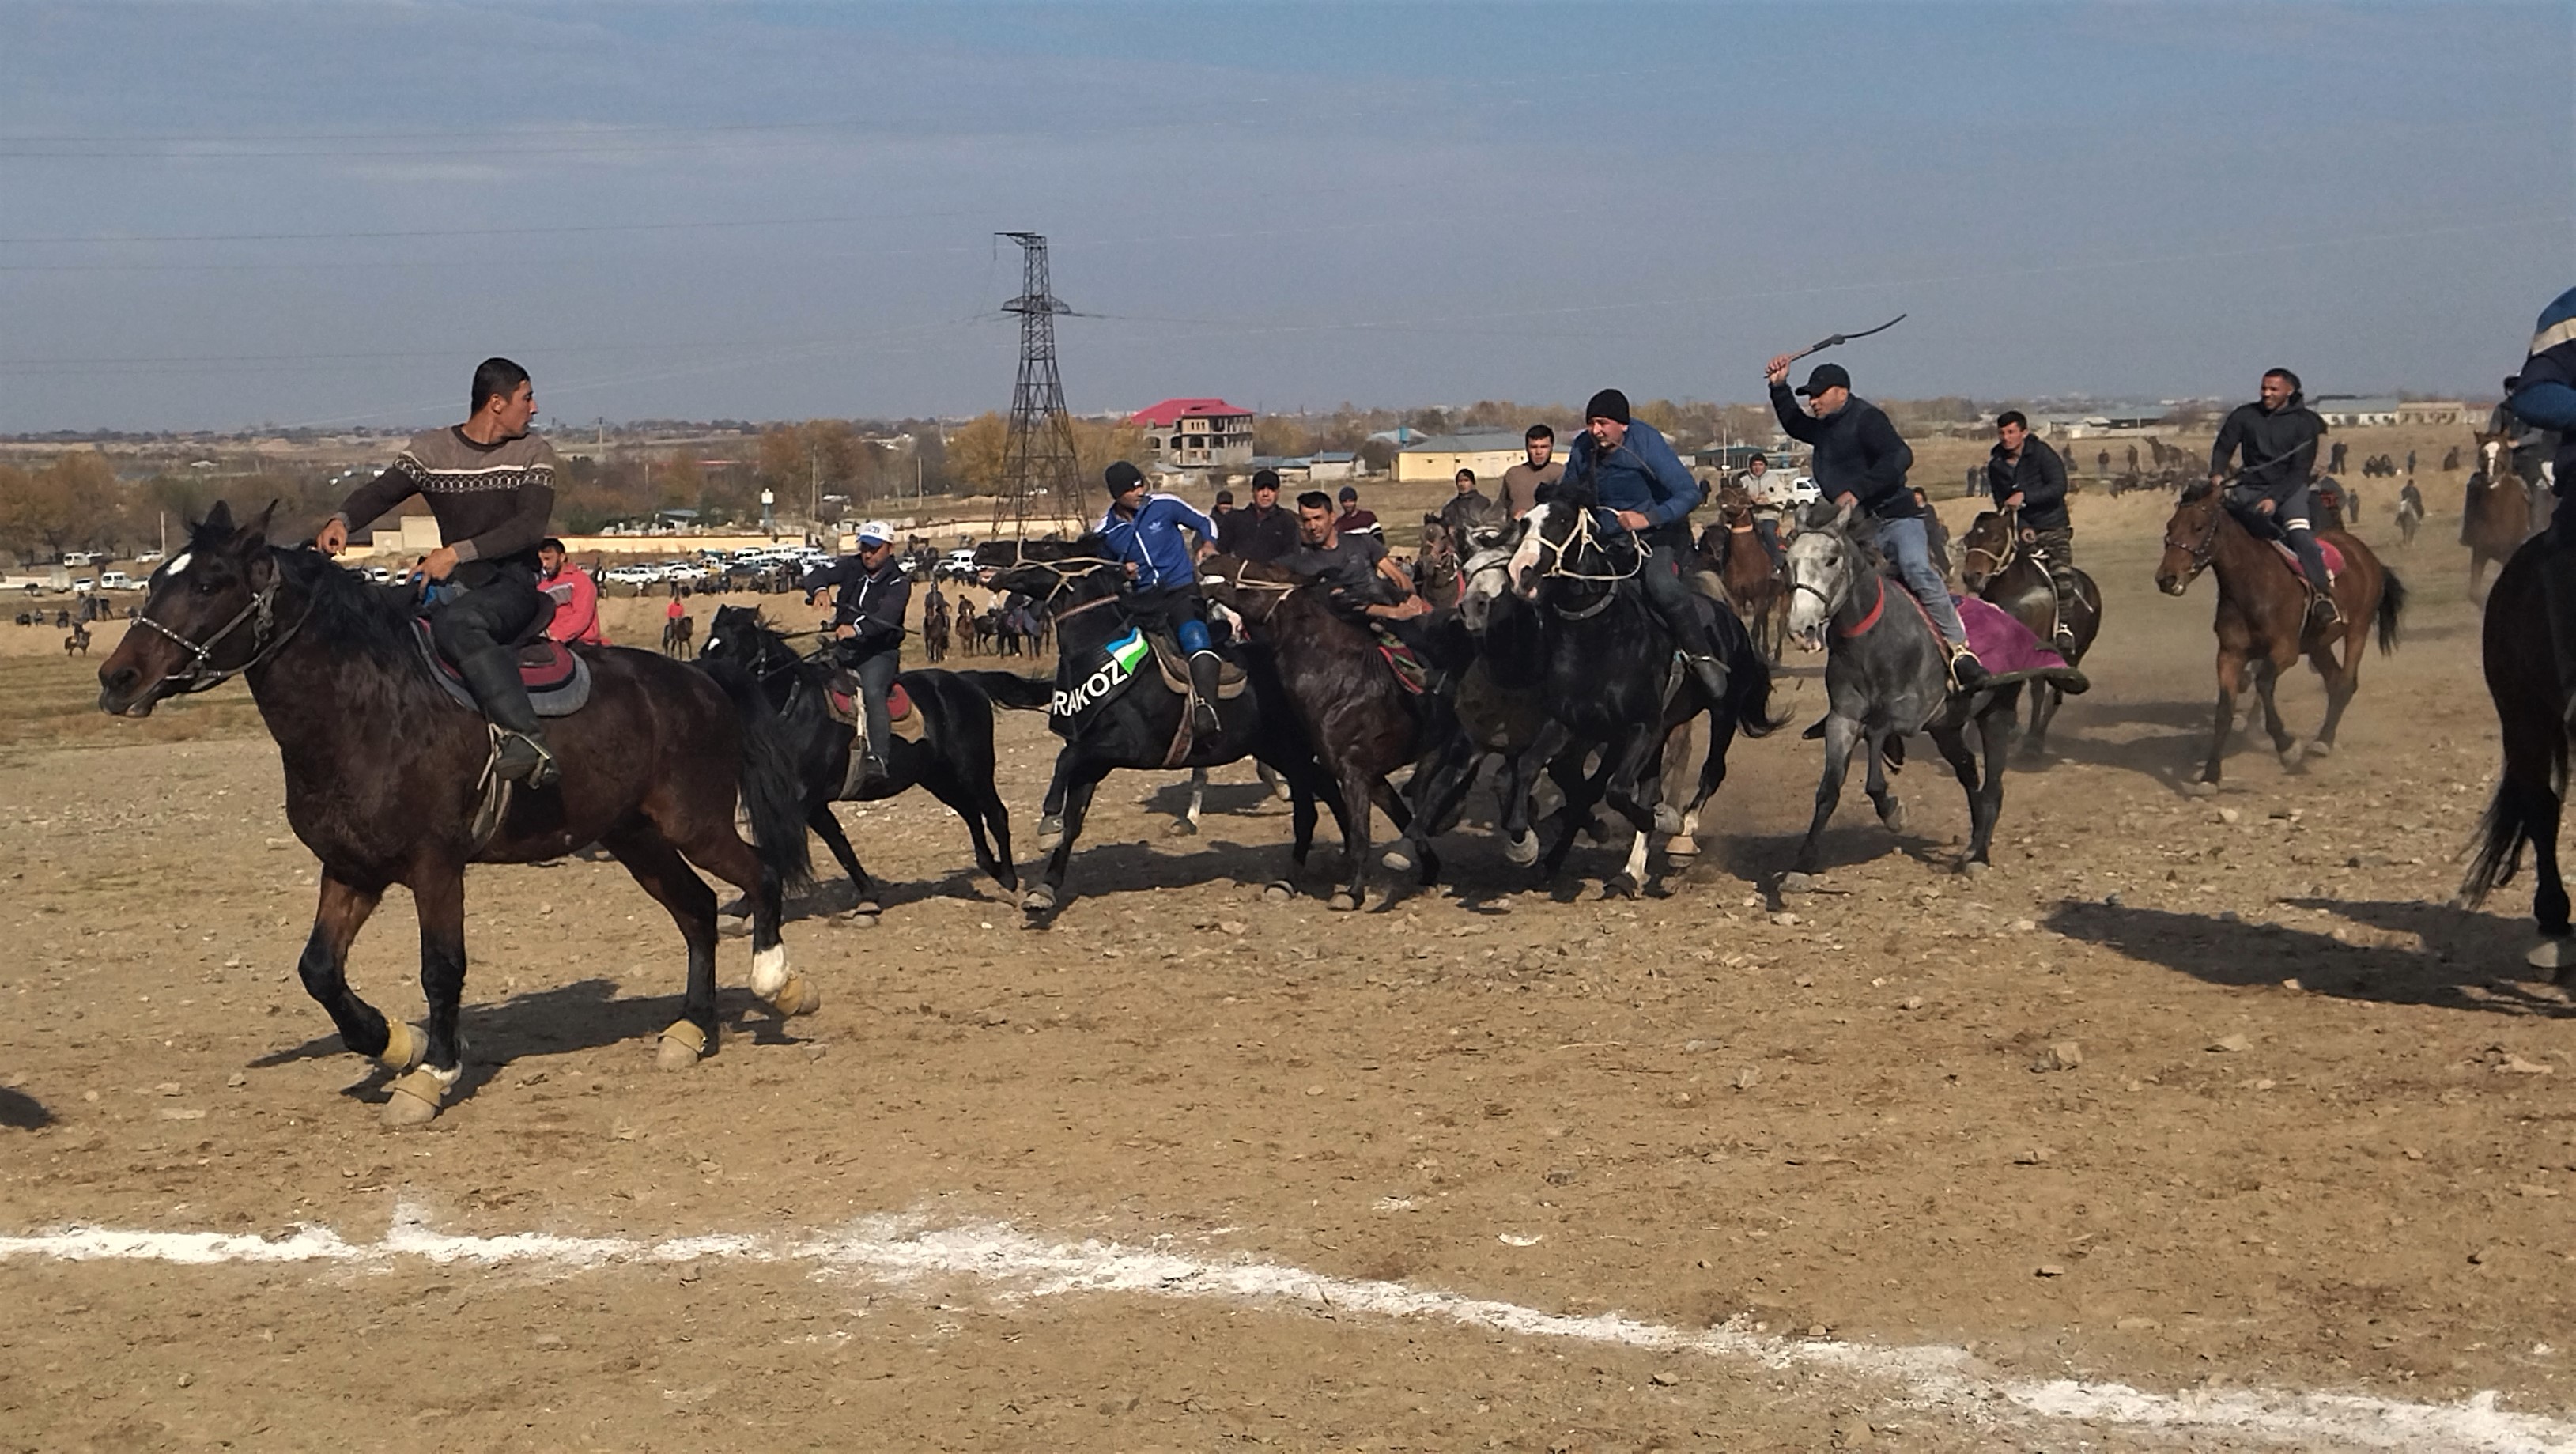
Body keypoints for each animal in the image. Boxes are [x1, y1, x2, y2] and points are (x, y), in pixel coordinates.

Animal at [95, 505, 814, 1129]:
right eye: (156, 580)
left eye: (208, 583)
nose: (117, 678)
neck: (369, 709)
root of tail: (703, 680)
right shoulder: (352, 869)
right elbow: (320, 969)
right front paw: (394, 1042)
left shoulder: (435, 866)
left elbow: (441, 968)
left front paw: (432, 1074)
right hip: (636, 836)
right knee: (696, 908)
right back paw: (692, 1028)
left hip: (695, 824)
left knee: (760, 876)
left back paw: (778, 984)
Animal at [701, 606, 1030, 917]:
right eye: (706, 649)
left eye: (730, 649)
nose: (705, 690)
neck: (797, 709)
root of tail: (966, 681)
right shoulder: (814, 804)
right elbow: (841, 846)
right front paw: (869, 898)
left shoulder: (801, 800)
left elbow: (779, 848)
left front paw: (744, 906)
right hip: (939, 778)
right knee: (971, 813)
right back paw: (991, 867)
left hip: (974, 769)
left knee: (995, 813)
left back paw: (1010, 879)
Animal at [973, 533, 1339, 917]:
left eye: (1045, 549)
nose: (984, 549)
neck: (1102, 652)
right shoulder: (1094, 762)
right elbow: (1074, 819)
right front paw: (1045, 887)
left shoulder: (1125, 747)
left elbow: (1065, 760)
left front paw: (1048, 824)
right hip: (1281, 751)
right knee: (1326, 794)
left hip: (1293, 753)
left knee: (1313, 807)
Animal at [1958, 505, 2102, 757]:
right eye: (1969, 539)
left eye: (1996, 538)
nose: (1971, 576)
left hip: (2074, 654)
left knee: (2049, 695)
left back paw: (2035, 741)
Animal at [2163, 482, 2400, 788]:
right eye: (2170, 526)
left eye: (2198, 527)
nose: (2166, 578)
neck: (2252, 584)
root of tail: (2365, 556)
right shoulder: (2230, 655)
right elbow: (2224, 710)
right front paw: (2210, 776)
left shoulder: (2284, 652)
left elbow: (2264, 685)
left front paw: (2287, 748)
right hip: (2317, 644)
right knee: (2334, 680)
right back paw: (2325, 738)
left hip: (2357, 630)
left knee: (2346, 683)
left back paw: (2322, 742)